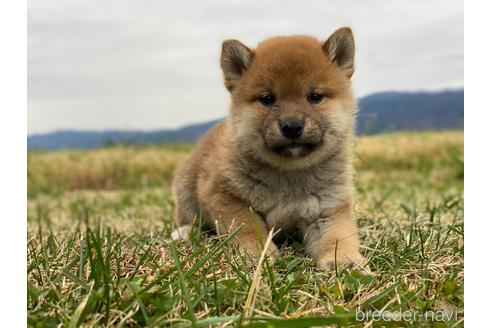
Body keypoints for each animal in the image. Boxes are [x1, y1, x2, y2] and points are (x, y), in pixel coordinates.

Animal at [172, 27, 366, 270]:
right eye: (267, 99)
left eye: (315, 96)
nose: (292, 126)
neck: (290, 175)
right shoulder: (226, 198)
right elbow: (249, 229)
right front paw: (256, 255)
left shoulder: (329, 208)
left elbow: (339, 236)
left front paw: (345, 260)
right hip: (186, 189)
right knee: (189, 218)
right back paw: (183, 232)